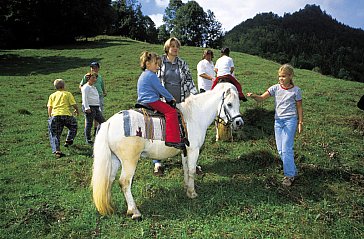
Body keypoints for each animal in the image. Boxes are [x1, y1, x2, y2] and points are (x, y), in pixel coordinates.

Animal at [91, 83, 245, 219]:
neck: (194, 116)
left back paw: (111, 207)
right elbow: (192, 170)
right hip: (129, 161)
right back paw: (134, 211)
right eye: (229, 104)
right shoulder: (193, 150)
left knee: (109, 180)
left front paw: (187, 188)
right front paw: (192, 193)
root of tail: (109, 123)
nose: (239, 123)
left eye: (238, 104)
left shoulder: (184, 151)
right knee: (124, 182)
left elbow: (185, 169)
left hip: (115, 159)